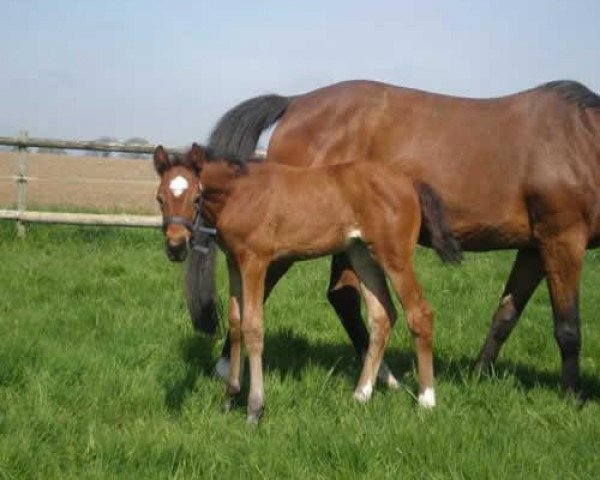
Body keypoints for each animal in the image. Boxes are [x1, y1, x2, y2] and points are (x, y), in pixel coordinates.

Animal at [154, 143, 460, 424]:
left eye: (196, 197)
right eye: (159, 198)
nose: (176, 247)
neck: (241, 194)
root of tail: (409, 183)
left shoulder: (255, 261)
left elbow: (253, 328)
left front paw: (255, 408)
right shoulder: (233, 262)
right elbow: (235, 323)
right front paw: (229, 398)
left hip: (394, 256)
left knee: (419, 313)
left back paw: (426, 400)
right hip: (362, 254)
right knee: (382, 316)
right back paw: (361, 395)